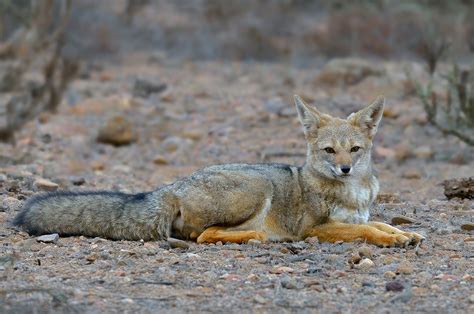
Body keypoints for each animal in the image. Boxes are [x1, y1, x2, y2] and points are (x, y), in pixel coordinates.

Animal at [13, 94, 426, 247]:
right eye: (329, 150)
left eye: (355, 150)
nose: (344, 168)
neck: (353, 192)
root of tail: (173, 186)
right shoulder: (316, 229)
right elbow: (367, 229)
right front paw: (392, 240)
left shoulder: (360, 213)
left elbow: (381, 223)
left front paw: (405, 233)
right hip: (256, 189)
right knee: (205, 235)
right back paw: (257, 237)